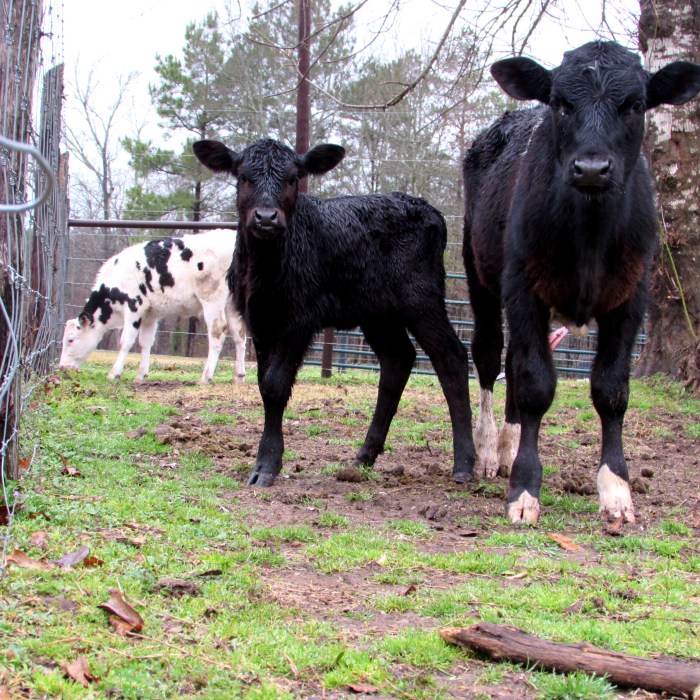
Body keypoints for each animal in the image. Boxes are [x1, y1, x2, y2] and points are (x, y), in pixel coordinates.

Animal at [59, 229, 247, 385]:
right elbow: (145, 342)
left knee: (218, 331)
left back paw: (205, 377)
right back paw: (239, 376)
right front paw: (140, 375)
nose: (61, 367)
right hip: (232, 302)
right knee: (239, 334)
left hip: (211, 297)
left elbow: (125, 341)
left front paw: (114, 373)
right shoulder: (151, 313)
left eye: (70, 339)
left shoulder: (134, 306)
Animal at [193, 137, 476, 487]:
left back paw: (464, 463)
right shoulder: (259, 320)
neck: (267, 267)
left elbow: (275, 385)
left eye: (292, 178)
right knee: (397, 360)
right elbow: (262, 385)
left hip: (421, 297)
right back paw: (364, 456)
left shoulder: (297, 319)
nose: (266, 217)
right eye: (243, 176)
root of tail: (431, 211)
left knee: (451, 356)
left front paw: (267, 464)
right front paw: (263, 461)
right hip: (377, 312)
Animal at [462, 40, 700, 524]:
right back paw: (489, 451)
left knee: (511, 358)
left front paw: (617, 491)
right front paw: (524, 491)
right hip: (480, 275)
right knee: (490, 356)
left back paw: (508, 446)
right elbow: (535, 384)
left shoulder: (631, 297)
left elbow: (611, 389)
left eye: (635, 105)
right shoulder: (524, 286)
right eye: (560, 103)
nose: (592, 168)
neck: (589, 235)